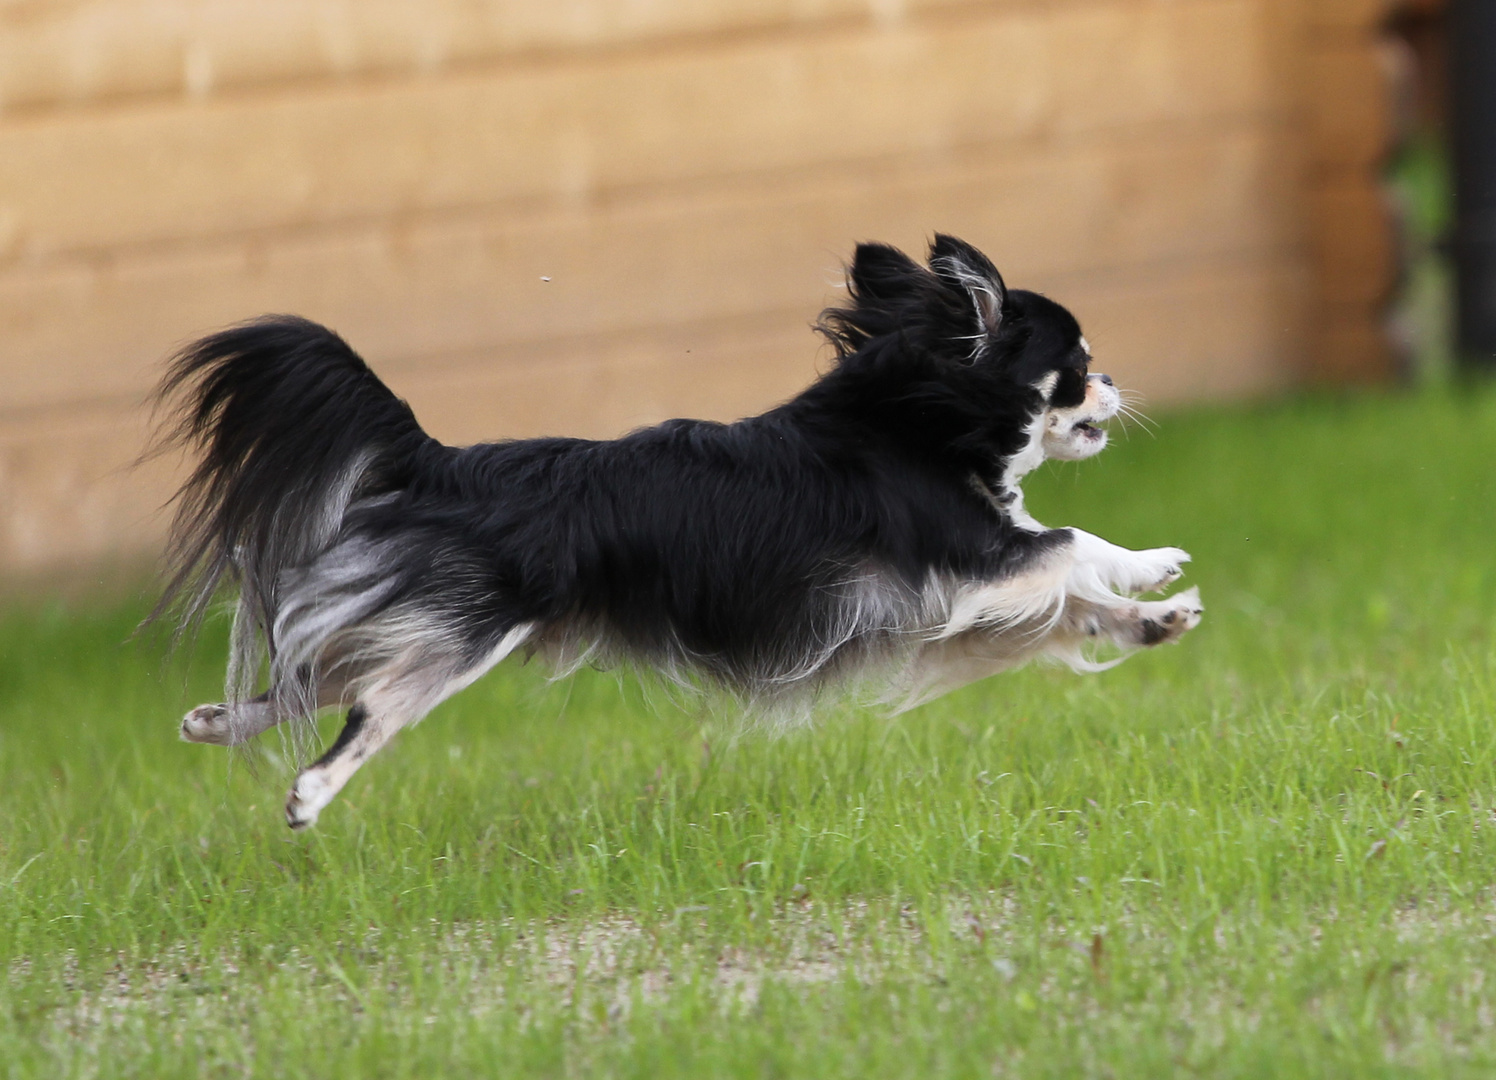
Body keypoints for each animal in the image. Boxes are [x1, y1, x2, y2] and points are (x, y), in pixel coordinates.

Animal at [154, 233, 1202, 825]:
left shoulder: (956, 604)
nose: (1114, 381)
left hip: (440, 623)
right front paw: (1156, 565)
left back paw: (215, 721)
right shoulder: (967, 562)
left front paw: (1153, 620)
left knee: (316, 677)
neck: (919, 416)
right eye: (1079, 365)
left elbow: (1075, 599)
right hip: (467, 634)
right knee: (367, 706)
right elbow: (1075, 545)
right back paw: (308, 795)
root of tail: (444, 459)